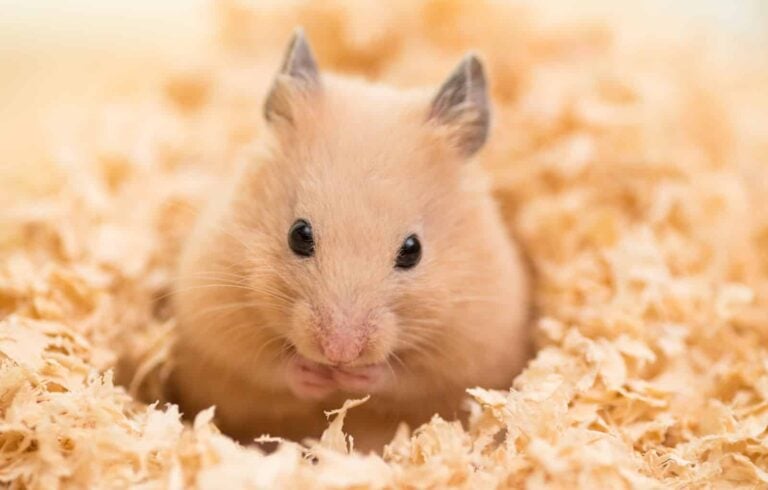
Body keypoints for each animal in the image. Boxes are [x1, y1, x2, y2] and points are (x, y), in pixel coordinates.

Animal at [169, 29, 531, 451]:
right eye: (299, 234)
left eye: (413, 250)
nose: (339, 353)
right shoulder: (213, 309)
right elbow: (262, 364)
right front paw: (315, 374)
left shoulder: (475, 341)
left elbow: (409, 379)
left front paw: (355, 377)